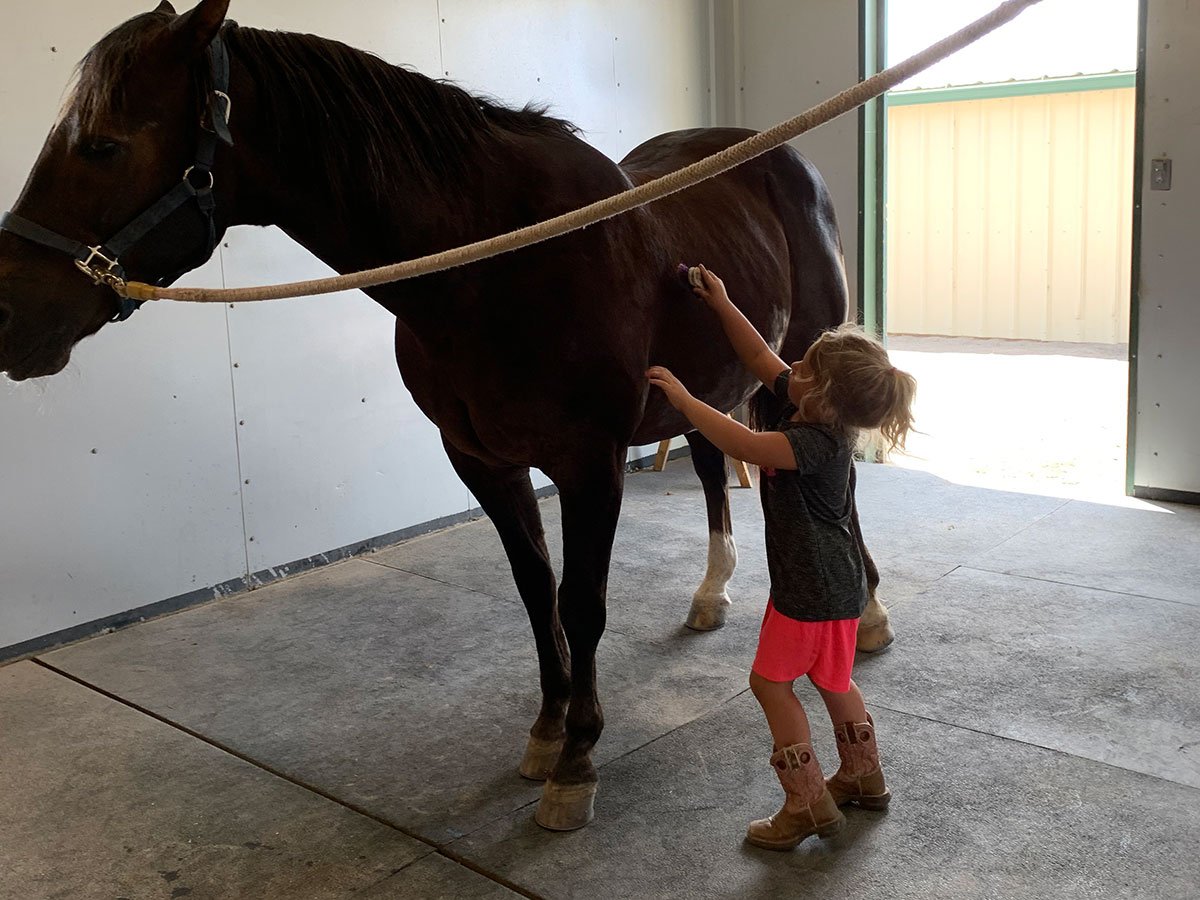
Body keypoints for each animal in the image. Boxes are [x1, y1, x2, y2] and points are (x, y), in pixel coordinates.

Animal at [0, 0, 893, 830]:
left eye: (103, 145)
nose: (12, 318)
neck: (497, 264)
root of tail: (780, 154)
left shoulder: (589, 462)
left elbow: (582, 601)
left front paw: (577, 760)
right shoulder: (480, 459)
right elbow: (536, 590)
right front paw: (546, 729)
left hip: (794, 370)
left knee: (833, 482)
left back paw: (871, 612)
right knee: (713, 468)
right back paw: (712, 593)